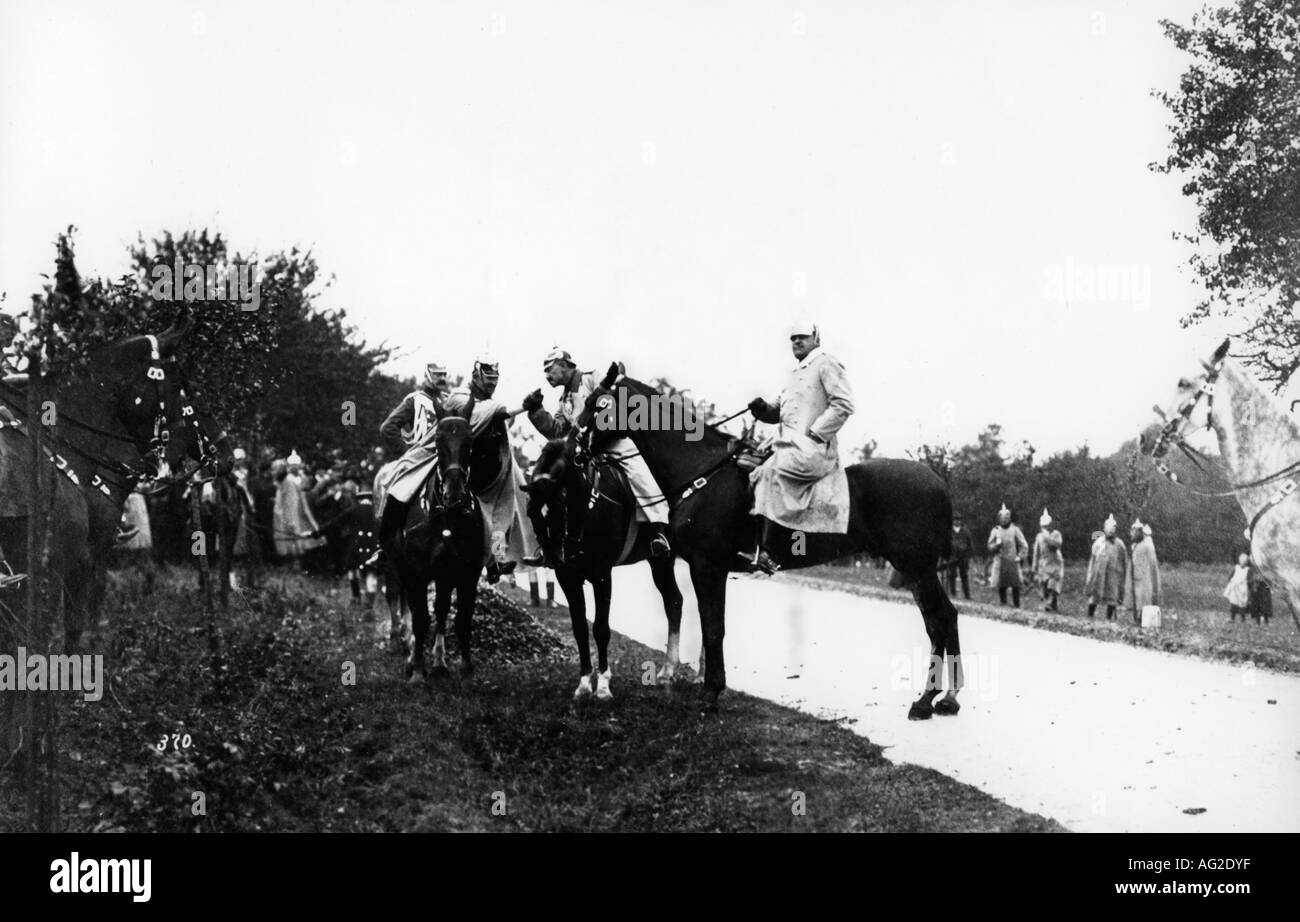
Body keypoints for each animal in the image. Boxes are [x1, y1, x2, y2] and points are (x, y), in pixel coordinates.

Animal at [392, 392, 488, 681]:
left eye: (470, 441)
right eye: (437, 441)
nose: (454, 494)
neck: (447, 518)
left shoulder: (467, 572)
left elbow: (462, 618)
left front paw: (466, 668)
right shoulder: (416, 571)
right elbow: (421, 619)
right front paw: (417, 671)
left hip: (445, 575)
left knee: (443, 609)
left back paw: (439, 663)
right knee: (413, 610)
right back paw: (414, 659)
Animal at [520, 431, 686, 697]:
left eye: (559, 507)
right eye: (531, 513)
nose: (555, 558)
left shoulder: (602, 575)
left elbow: (600, 628)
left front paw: (604, 686)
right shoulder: (568, 578)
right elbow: (579, 628)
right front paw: (584, 682)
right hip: (660, 562)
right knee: (674, 600)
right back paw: (669, 671)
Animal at [574, 364, 961, 717]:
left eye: (597, 404)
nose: (577, 450)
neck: (703, 473)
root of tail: (938, 481)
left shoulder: (708, 566)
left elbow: (714, 628)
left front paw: (711, 694)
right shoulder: (705, 568)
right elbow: (709, 624)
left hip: (916, 567)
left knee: (939, 619)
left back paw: (926, 701)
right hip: (916, 569)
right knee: (943, 617)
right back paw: (947, 700)